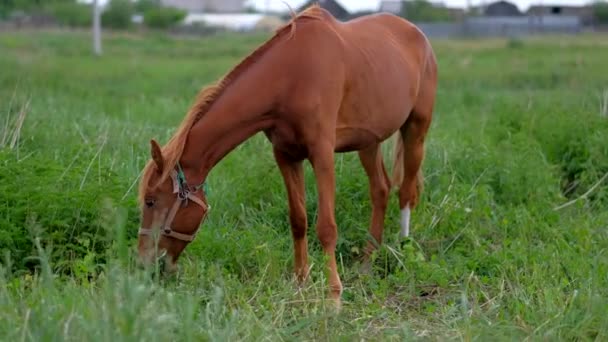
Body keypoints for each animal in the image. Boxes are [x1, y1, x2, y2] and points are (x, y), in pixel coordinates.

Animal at [137, 4, 436, 310]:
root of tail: (418, 34)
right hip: (369, 141)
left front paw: (333, 297)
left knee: (405, 191)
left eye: (150, 201)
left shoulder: (322, 155)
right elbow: (298, 220)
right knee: (381, 189)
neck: (291, 77)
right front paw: (300, 282)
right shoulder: (286, 156)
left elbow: (326, 226)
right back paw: (366, 262)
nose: (145, 264)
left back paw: (403, 249)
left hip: (416, 129)